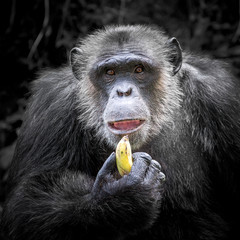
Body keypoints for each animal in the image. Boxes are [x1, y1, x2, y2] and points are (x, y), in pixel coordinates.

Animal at [1, 24, 240, 240]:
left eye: (139, 69)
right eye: (109, 72)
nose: (124, 91)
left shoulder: (222, 98)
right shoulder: (51, 106)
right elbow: (27, 201)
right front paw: (120, 196)